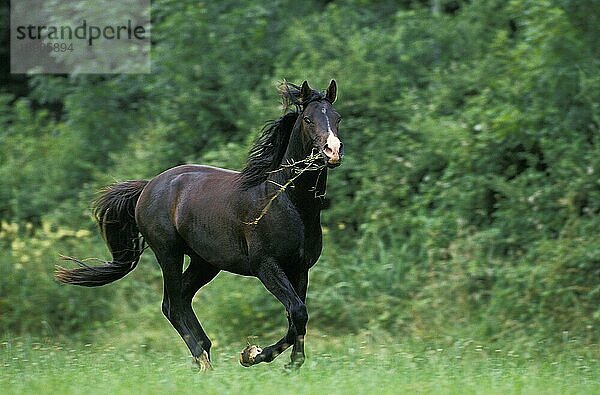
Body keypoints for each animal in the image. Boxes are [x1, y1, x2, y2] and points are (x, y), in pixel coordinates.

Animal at [57, 80, 346, 372]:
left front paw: (287, 362)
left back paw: (204, 354)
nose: (332, 151)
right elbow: (297, 313)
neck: (287, 203)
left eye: (337, 118)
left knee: (181, 299)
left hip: (204, 263)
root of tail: (148, 187)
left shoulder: (300, 268)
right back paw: (203, 360)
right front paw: (253, 355)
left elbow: (296, 317)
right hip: (169, 254)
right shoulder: (266, 265)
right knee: (172, 305)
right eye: (308, 119)